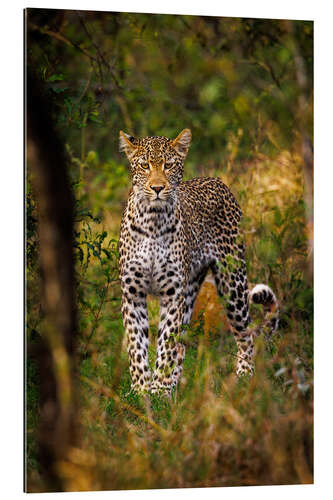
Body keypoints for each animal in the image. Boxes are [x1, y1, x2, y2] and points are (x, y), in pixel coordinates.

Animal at [117, 128, 278, 394]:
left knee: (246, 333)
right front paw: (141, 391)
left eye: (169, 165)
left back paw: (244, 376)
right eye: (144, 165)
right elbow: (137, 345)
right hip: (192, 287)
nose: (158, 187)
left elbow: (166, 344)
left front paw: (158, 391)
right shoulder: (133, 292)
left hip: (231, 283)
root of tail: (217, 181)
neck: (152, 220)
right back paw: (174, 387)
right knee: (182, 346)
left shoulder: (173, 293)